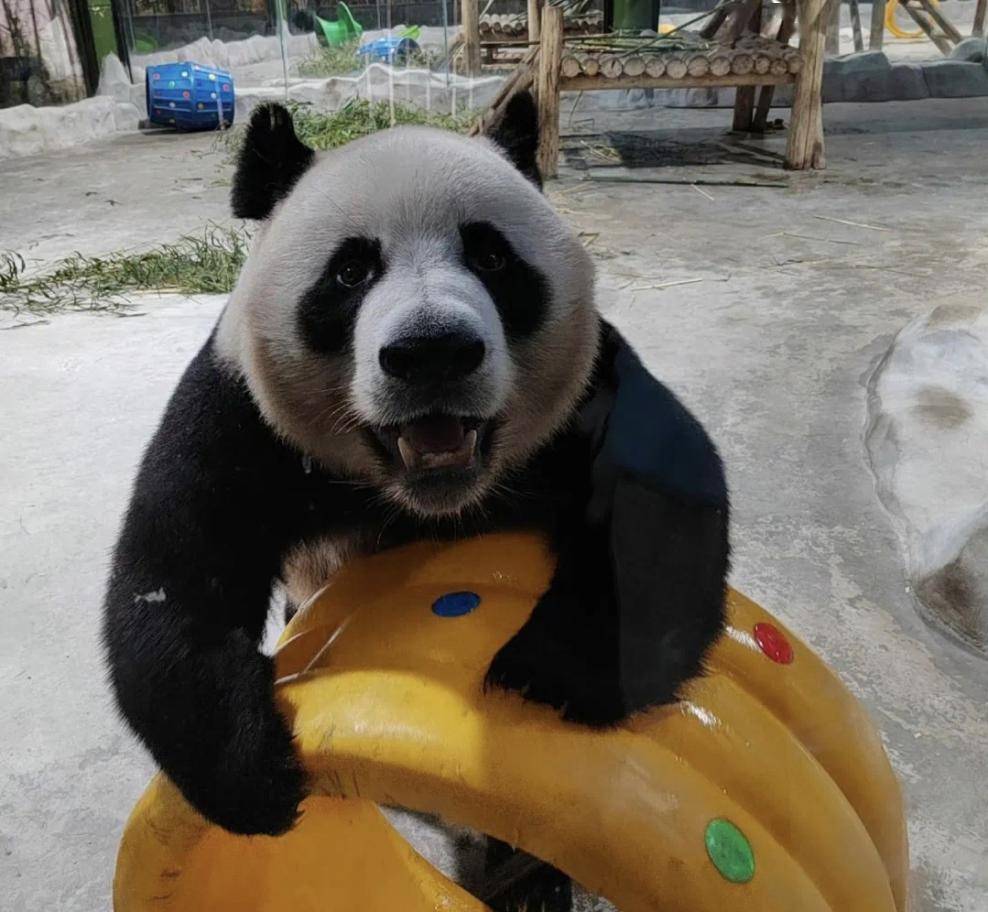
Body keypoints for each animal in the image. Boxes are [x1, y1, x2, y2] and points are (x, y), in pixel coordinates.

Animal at [104, 94, 728, 912]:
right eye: (349, 271)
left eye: (491, 256)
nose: (433, 352)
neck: (417, 496)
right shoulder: (244, 417)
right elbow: (173, 569)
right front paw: (253, 775)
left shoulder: (587, 391)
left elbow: (658, 493)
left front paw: (556, 674)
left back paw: (528, 879)